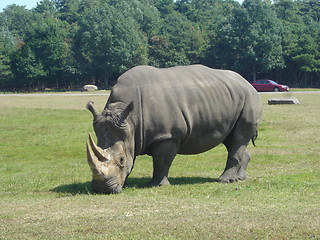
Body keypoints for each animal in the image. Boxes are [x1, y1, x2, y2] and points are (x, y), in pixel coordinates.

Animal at [85, 64, 262, 194]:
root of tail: (247, 82)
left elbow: (162, 161)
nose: (101, 190)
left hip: (249, 98)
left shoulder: (167, 135)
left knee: (237, 139)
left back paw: (225, 181)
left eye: (121, 160)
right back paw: (240, 178)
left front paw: (156, 185)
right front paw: (126, 183)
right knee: (232, 140)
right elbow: (134, 157)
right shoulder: (131, 134)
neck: (130, 119)